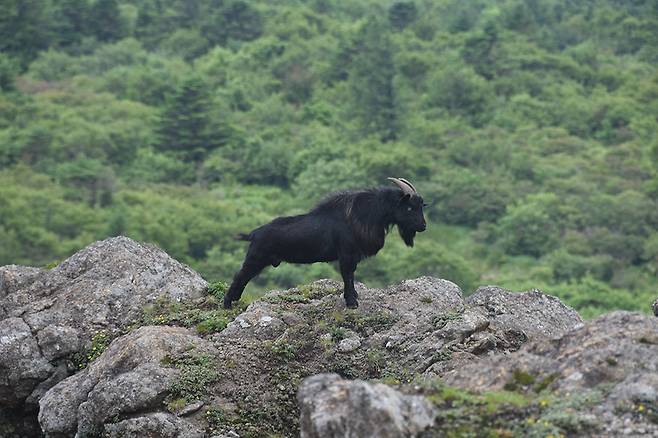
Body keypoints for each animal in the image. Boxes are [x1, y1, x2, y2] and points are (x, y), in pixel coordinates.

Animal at [220, 177, 426, 308]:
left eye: (421, 206)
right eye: (409, 207)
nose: (423, 226)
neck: (362, 215)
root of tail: (254, 234)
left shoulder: (352, 256)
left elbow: (351, 276)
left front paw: (354, 297)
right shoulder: (347, 254)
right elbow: (348, 275)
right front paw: (352, 303)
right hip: (256, 258)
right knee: (240, 276)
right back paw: (227, 304)